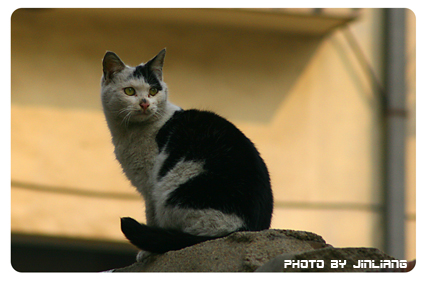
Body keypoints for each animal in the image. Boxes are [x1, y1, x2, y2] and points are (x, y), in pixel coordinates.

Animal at [100, 48, 272, 260]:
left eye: (153, 91)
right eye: (130, 91)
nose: (145, 103)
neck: (129, 133)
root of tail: (246, 228)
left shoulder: (150, 186)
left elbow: (151, 217)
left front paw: (146, 252)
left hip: (173, 187)